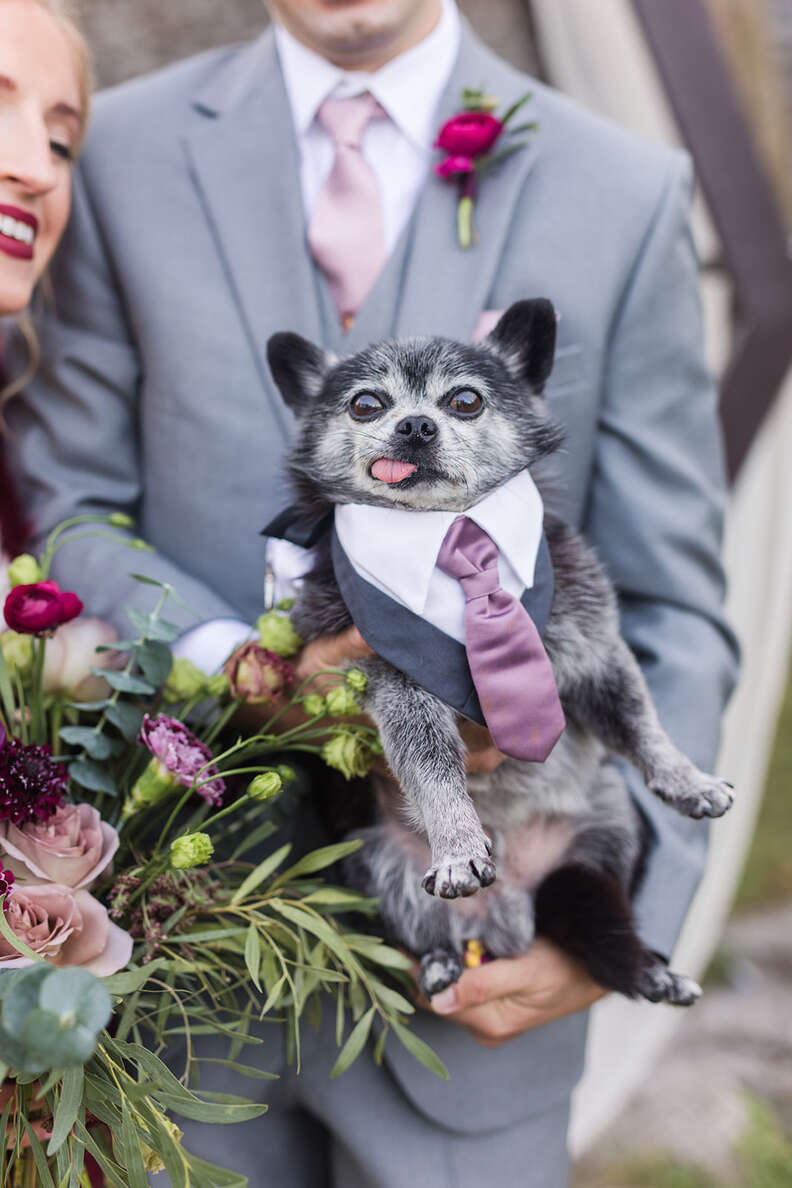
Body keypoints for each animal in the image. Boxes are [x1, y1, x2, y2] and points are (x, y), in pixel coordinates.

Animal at [268, 301, 736, 1007]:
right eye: (366, 404)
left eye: (464, 400)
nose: (415, 425)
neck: (448, 531)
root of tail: (507, 919)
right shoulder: (397, 686)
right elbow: (431, 766)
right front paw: (458, 843)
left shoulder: (595, 653)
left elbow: (641, 723)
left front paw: (688, 780)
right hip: (374, 868)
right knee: (422, 934)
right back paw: (439, 963)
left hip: (599, 845)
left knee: (595, 916)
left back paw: (653, 970)